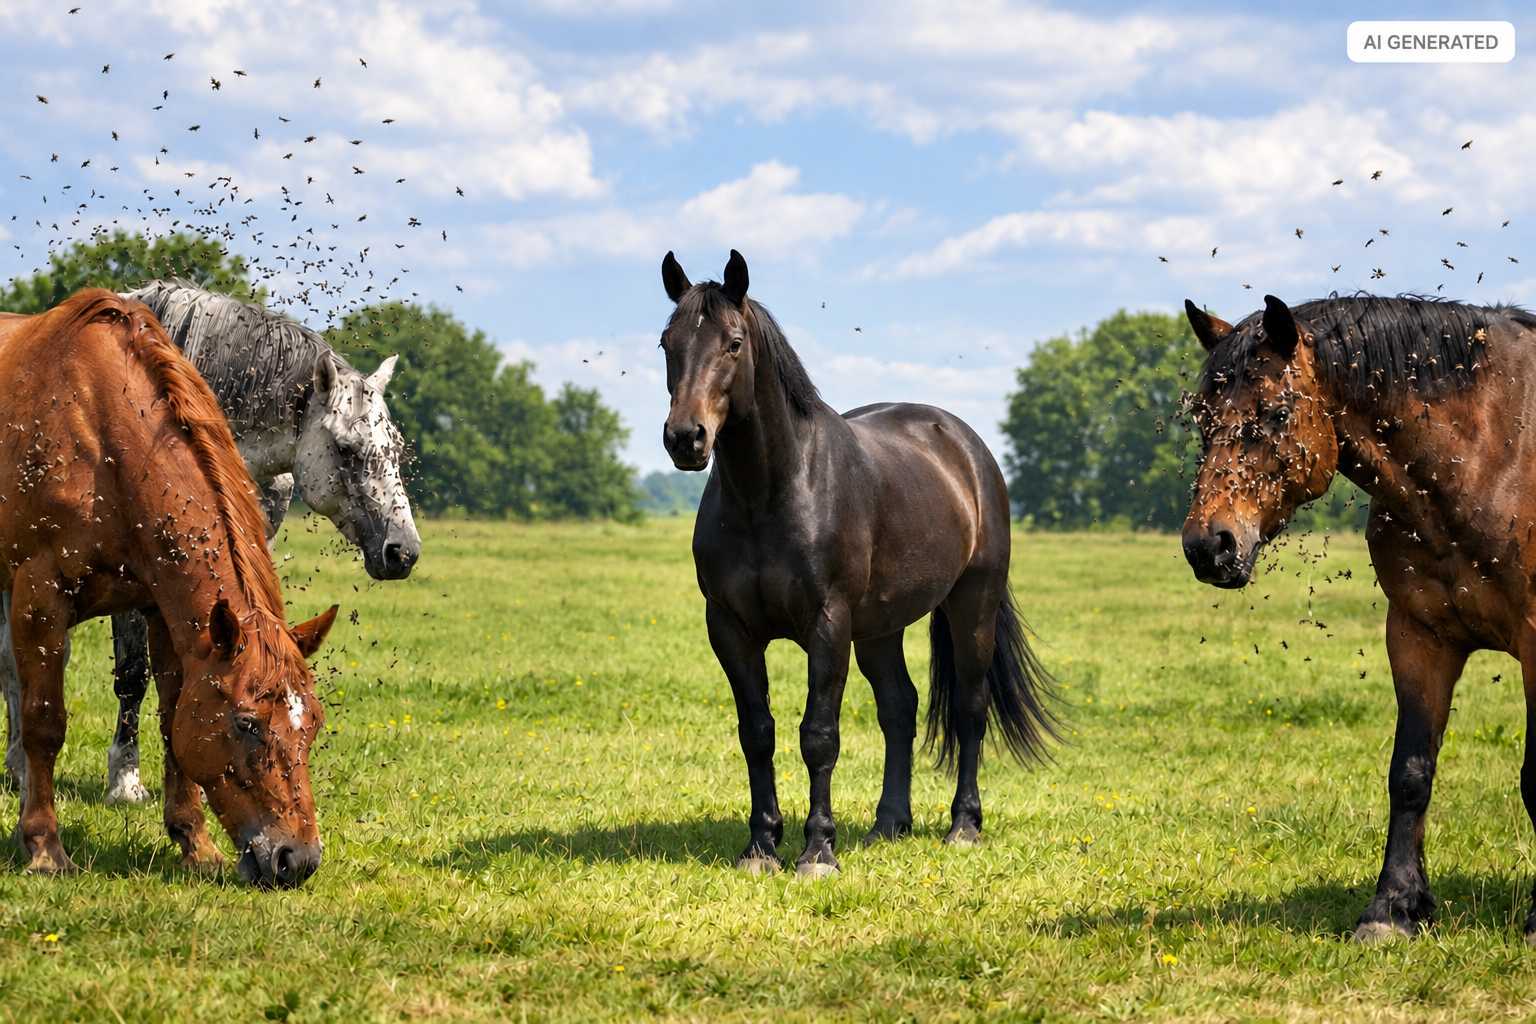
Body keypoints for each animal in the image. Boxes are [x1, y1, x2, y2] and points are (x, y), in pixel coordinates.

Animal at [657, 250, 1056, 876]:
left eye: (734, 343)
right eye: (667, 342)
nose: (685, 438)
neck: (771, 492)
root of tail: (967, 447)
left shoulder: (828, 625)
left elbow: (819, 734)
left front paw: (818, 849)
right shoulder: (729, 628)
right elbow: (758, 733)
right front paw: (761, 846)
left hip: (972, 604)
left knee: (970, 706)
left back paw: (963, 826)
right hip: (879, 628)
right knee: (899, 707)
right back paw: (889, 823)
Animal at [1181, 292, 1536, 942]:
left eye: (1274, 414)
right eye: (1202, 420)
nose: (1207, 546)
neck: (1492, 451)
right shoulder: (1419, 637)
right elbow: (1410, 773)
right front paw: (1393, 909)